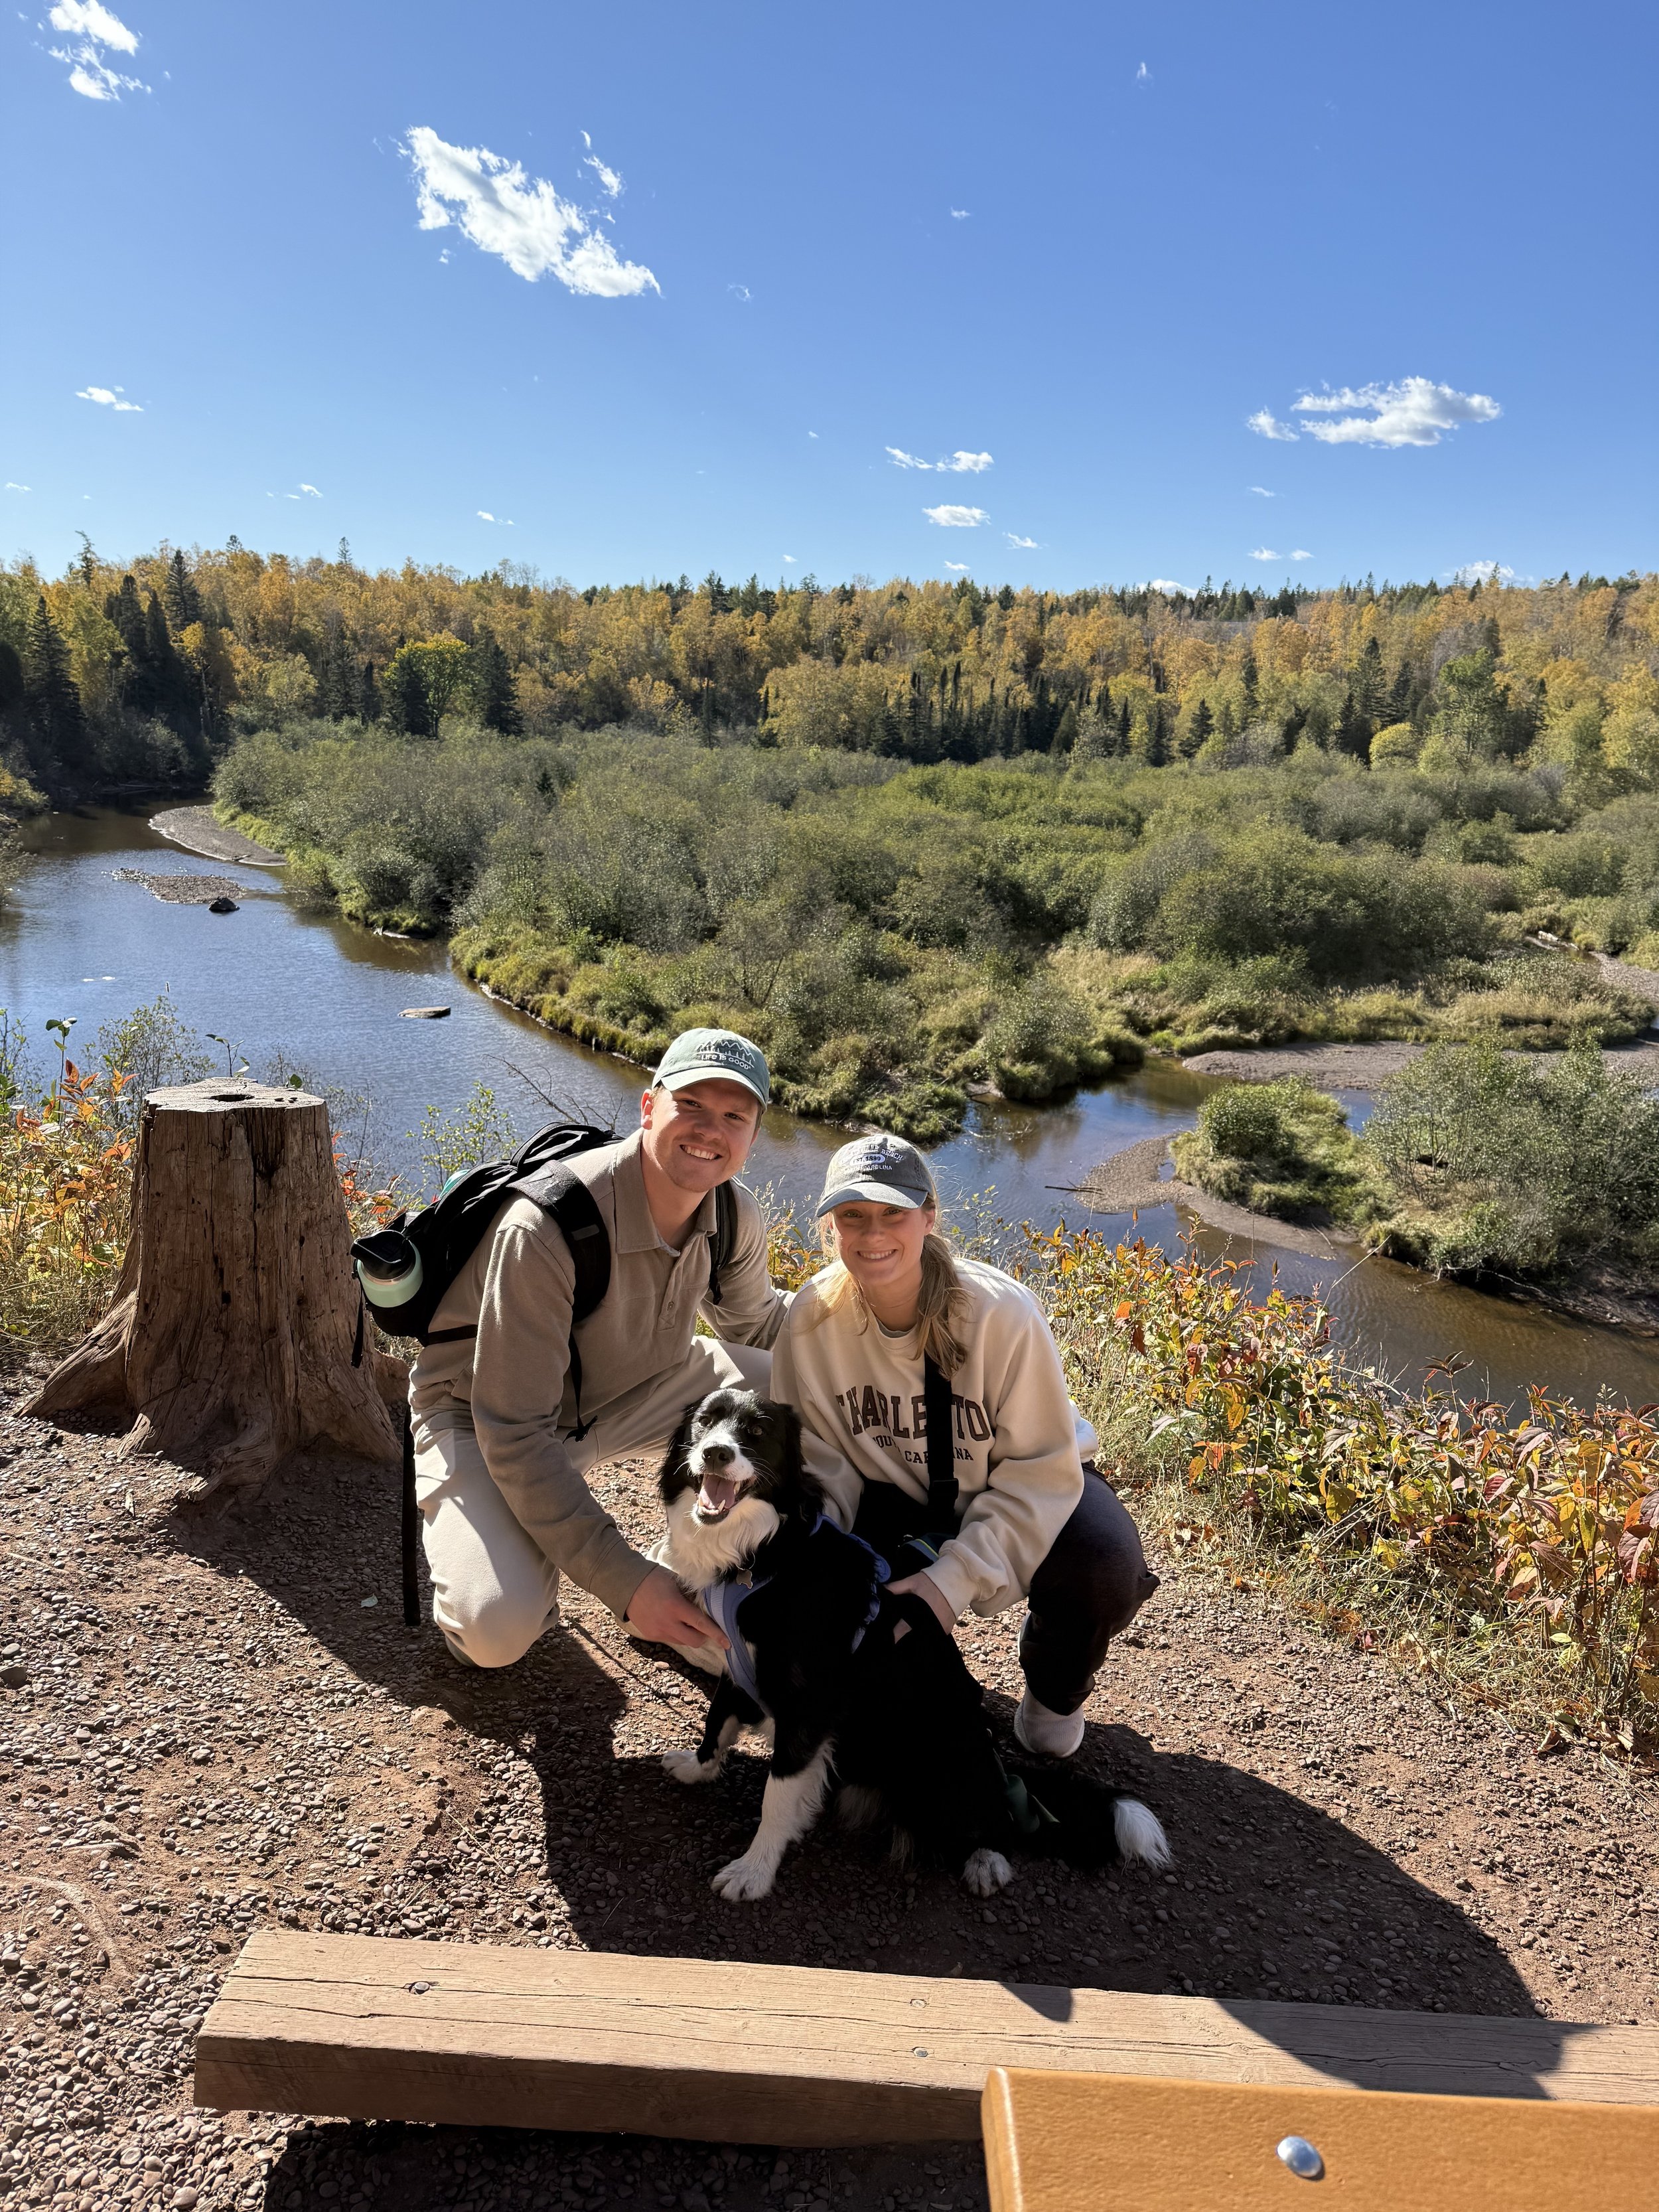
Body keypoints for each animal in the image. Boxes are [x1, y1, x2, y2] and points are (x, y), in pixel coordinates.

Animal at [655, 1386, 1172, 1902]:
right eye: (706, 1421)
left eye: (758, 1430)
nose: (716, 1453)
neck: (761, 1555)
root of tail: (1002, 1771)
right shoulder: (734, 1663)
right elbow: (716, 1721)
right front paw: (697, 1767)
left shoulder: (809, 1704)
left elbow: (777, 1795)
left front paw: (754, 1871)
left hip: (940, 1757)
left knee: (994, 1823)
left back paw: (987, 1860)